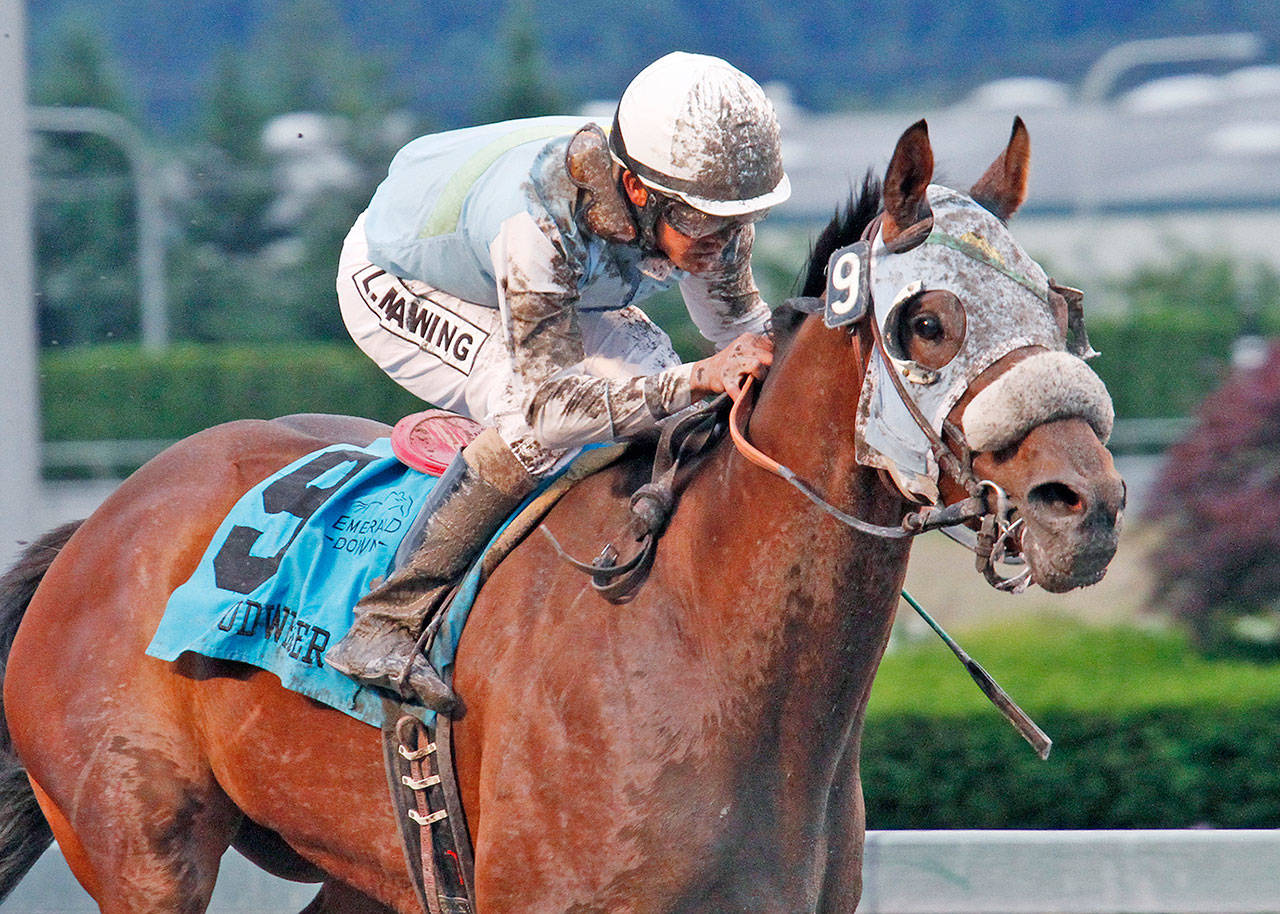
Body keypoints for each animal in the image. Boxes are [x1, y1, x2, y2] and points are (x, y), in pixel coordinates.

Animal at [0, 119, 1124, 913]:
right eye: (927, 320)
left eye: (1064, 309)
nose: (1088, 506)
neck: (696, 632)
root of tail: (100, 522)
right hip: (141, 846)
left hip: (368, 871)